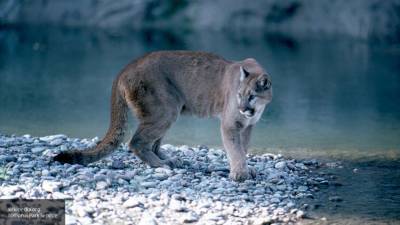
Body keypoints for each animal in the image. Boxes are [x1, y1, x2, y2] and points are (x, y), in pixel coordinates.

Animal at [54, 51, 272, 181]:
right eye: (239, 95)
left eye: (251, 96)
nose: (243, 108)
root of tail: (126, 67)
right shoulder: (230, 125)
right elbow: (235, 149)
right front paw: (240, 173)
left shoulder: (247, 126)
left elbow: (243, 148)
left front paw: (246, 169)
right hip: (165, 111)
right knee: (136, 142)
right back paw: (161, 164)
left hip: (167, 112)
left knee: (154, 144)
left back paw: (171, 160)